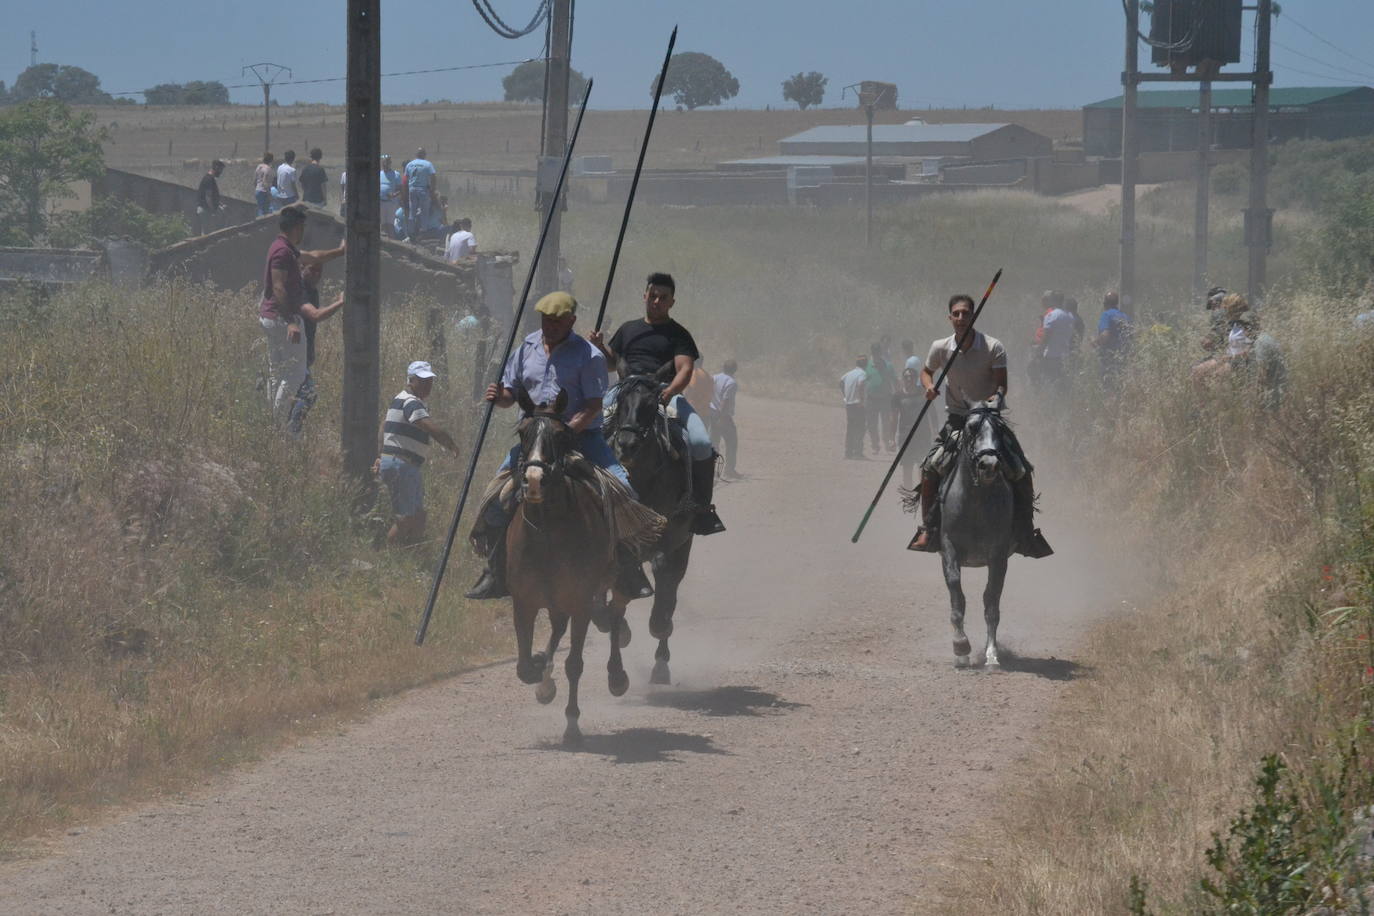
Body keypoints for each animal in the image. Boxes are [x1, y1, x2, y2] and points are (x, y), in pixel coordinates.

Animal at [508, 390, 629, 747]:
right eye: (522, 433)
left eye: (561, 436)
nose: (534, 481)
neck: (548, 532)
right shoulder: (524, 602)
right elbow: (523, 666)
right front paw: (539, 671)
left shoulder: (580, 602)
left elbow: (574, 663)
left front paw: (572, 725)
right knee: (560, 629)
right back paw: (545, 680)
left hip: (612, 583)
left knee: (615, 617)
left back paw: (617, 676)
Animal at [934, 398, 1022, 670]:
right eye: (971, 428)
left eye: (1000, 429)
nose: (989, 464)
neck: (975, 501)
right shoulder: (948, 547)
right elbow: (957, 595)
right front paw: (961, 647)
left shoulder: (998, 555)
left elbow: (991, 602)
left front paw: (992, 655)